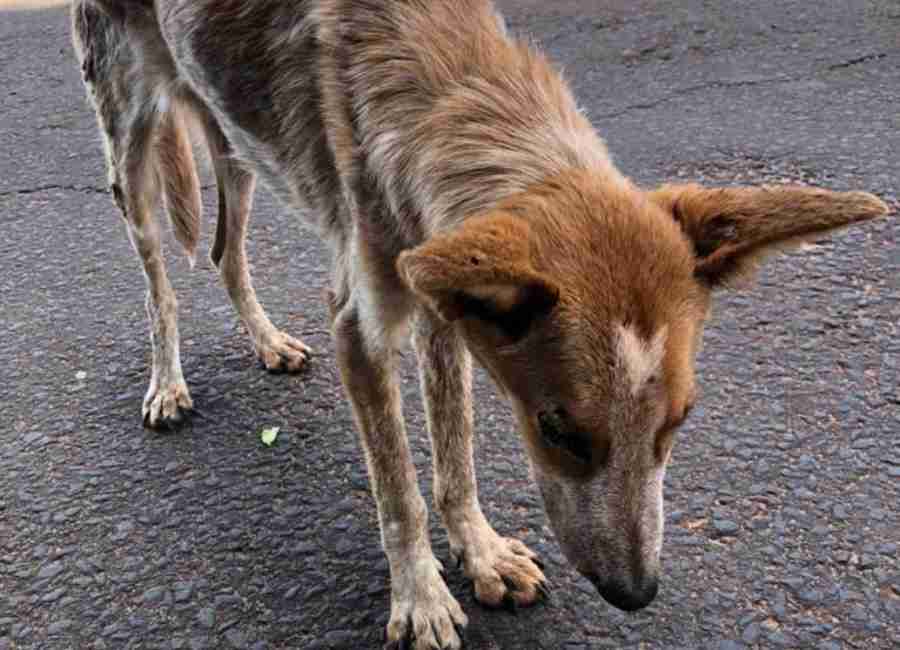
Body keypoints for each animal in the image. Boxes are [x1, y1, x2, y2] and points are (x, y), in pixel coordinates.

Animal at [68, 2, 884, 644]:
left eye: (680, 420)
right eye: (557, 430)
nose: (636, 594)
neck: (456, 95)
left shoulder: (445, 305)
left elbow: (454, 454)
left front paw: (480, 551)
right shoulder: (361, 328)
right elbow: (398, 491)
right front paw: (420, 596)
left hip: (233, 141)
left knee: (226, 254)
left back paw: (265, 340)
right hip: (130, 149)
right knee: (161, 287)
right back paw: (167, 383)